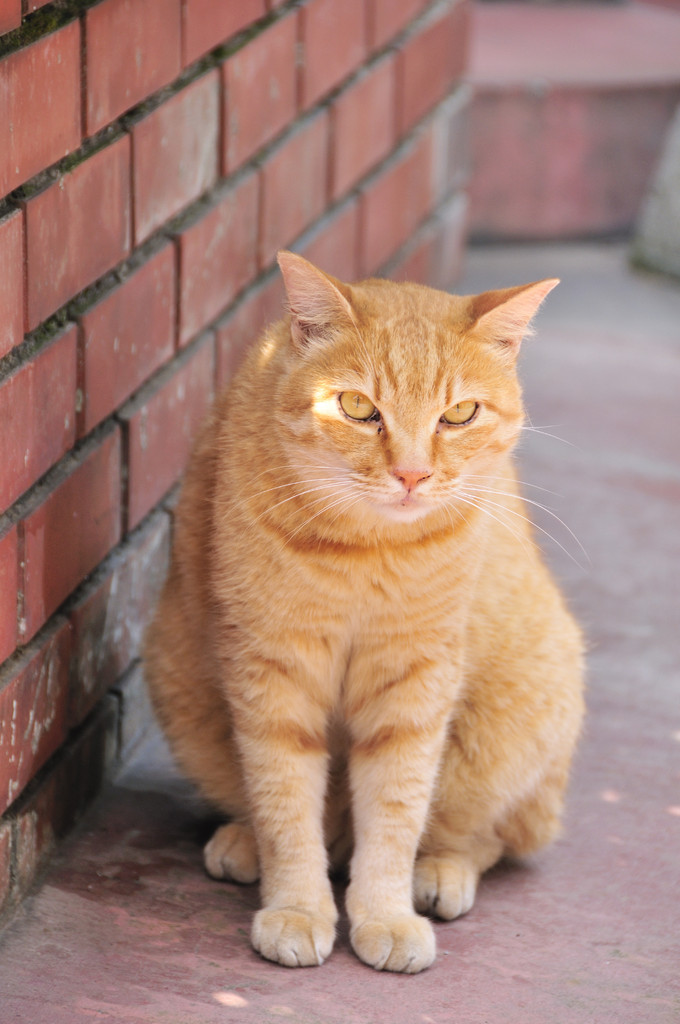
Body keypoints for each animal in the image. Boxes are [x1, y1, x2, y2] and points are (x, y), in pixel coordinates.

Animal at [143, 251, 585, 970]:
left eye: (460, 413)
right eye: (357, 407)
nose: (411, 475)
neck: (367, 552)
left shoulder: (416, 682)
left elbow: (396, 811)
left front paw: (386, 913)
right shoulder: (272, 670)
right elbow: (286, 802)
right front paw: (296, 905)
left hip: (510, 732)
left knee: (486, 835)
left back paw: (439, 872)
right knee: (316, 823)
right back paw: (247, 843)